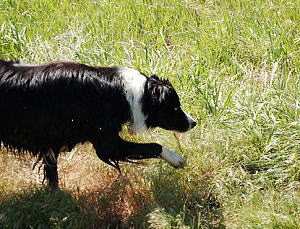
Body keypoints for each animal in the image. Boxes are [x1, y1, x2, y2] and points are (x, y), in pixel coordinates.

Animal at [0, 59, 197, 190]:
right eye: (175, 107)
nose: (193, 122)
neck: (118, 93)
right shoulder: (108, 144)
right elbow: (155, 146)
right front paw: (176, 159)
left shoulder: (51, 143)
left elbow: (52, 173)